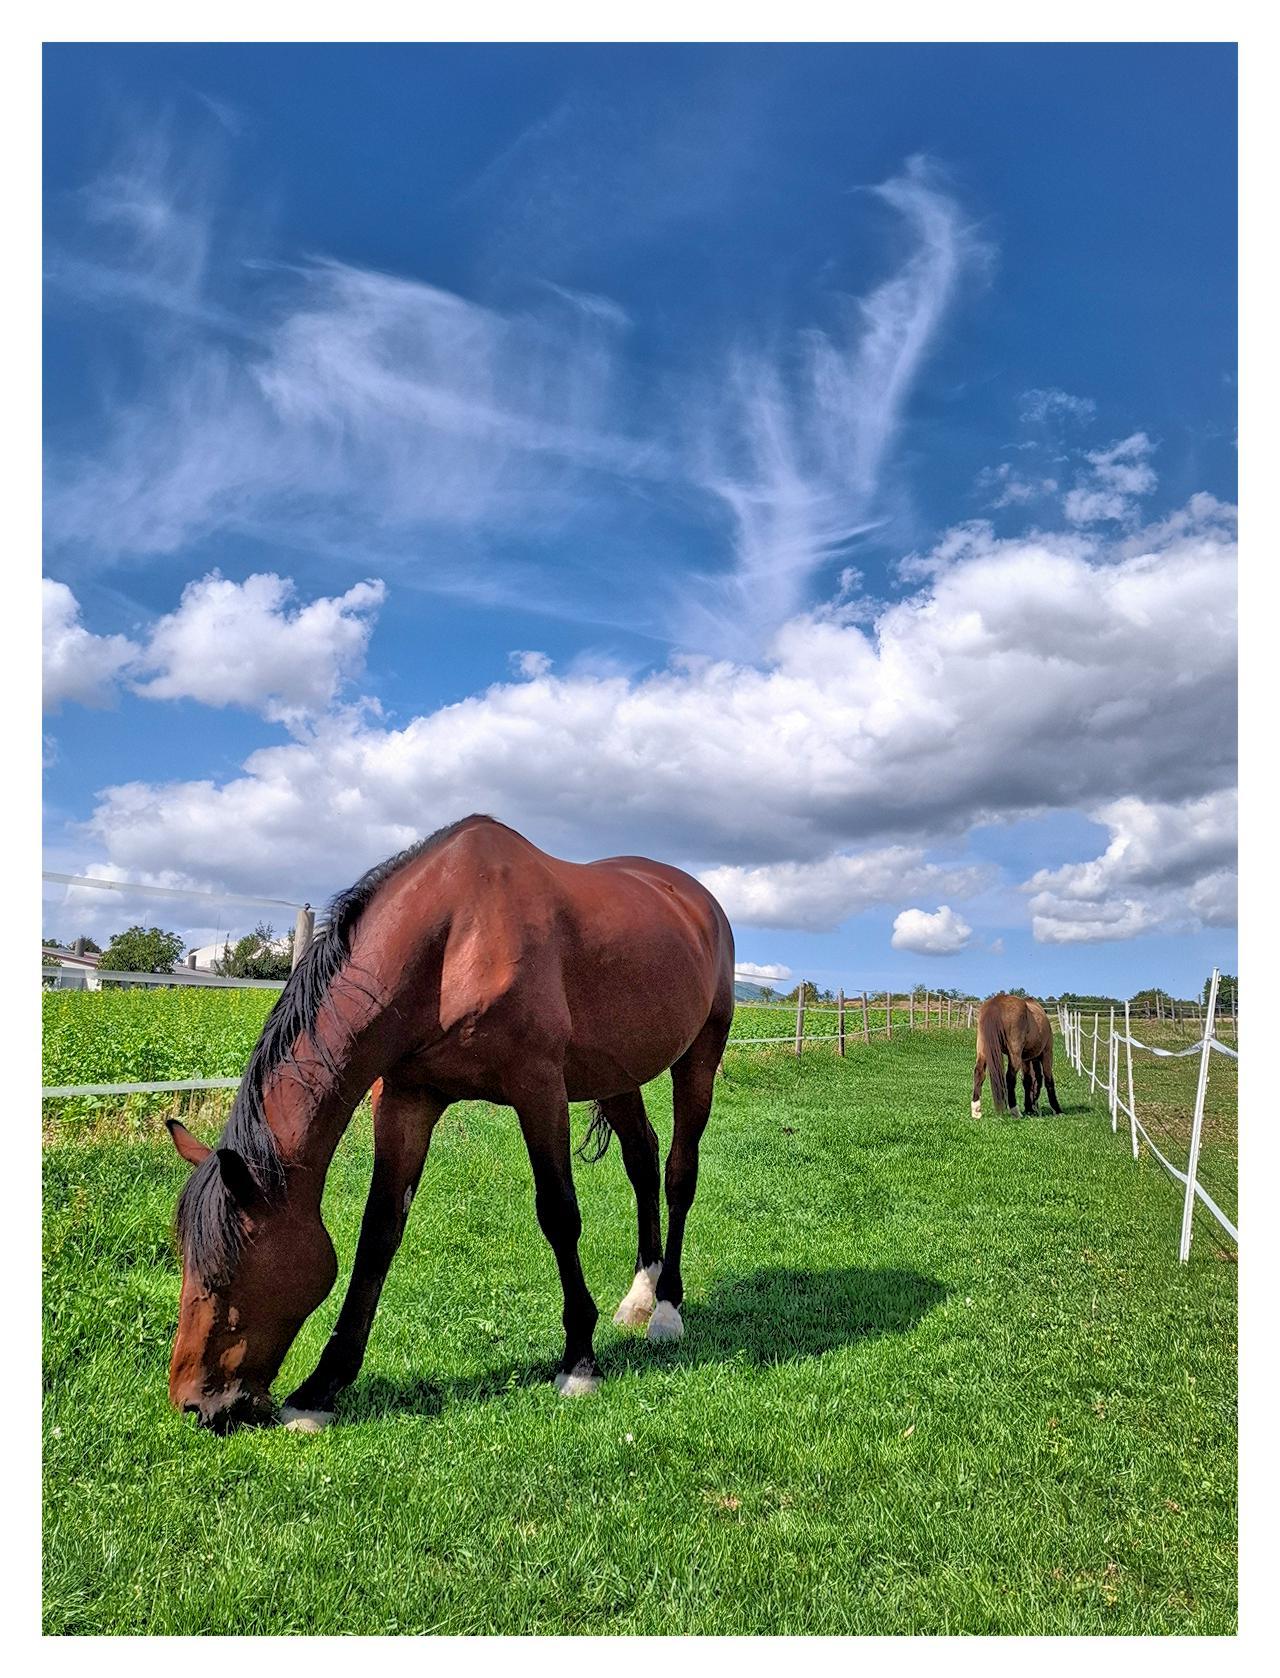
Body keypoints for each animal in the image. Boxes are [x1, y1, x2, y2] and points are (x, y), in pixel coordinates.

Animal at [163, 815, 735, 1432]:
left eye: (223, 1275)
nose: (194, 1404)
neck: (456, 939)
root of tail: (700, 901)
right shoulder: (407, 1098)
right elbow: (378, 1232)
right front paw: (320, 1389)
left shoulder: (538, 1088)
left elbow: (559, 1215)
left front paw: (579, 1362)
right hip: (617, 1072)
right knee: (642, 1159)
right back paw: (639, 1296)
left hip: (698, 1057)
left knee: (678, 1173)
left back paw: (667, 1310)